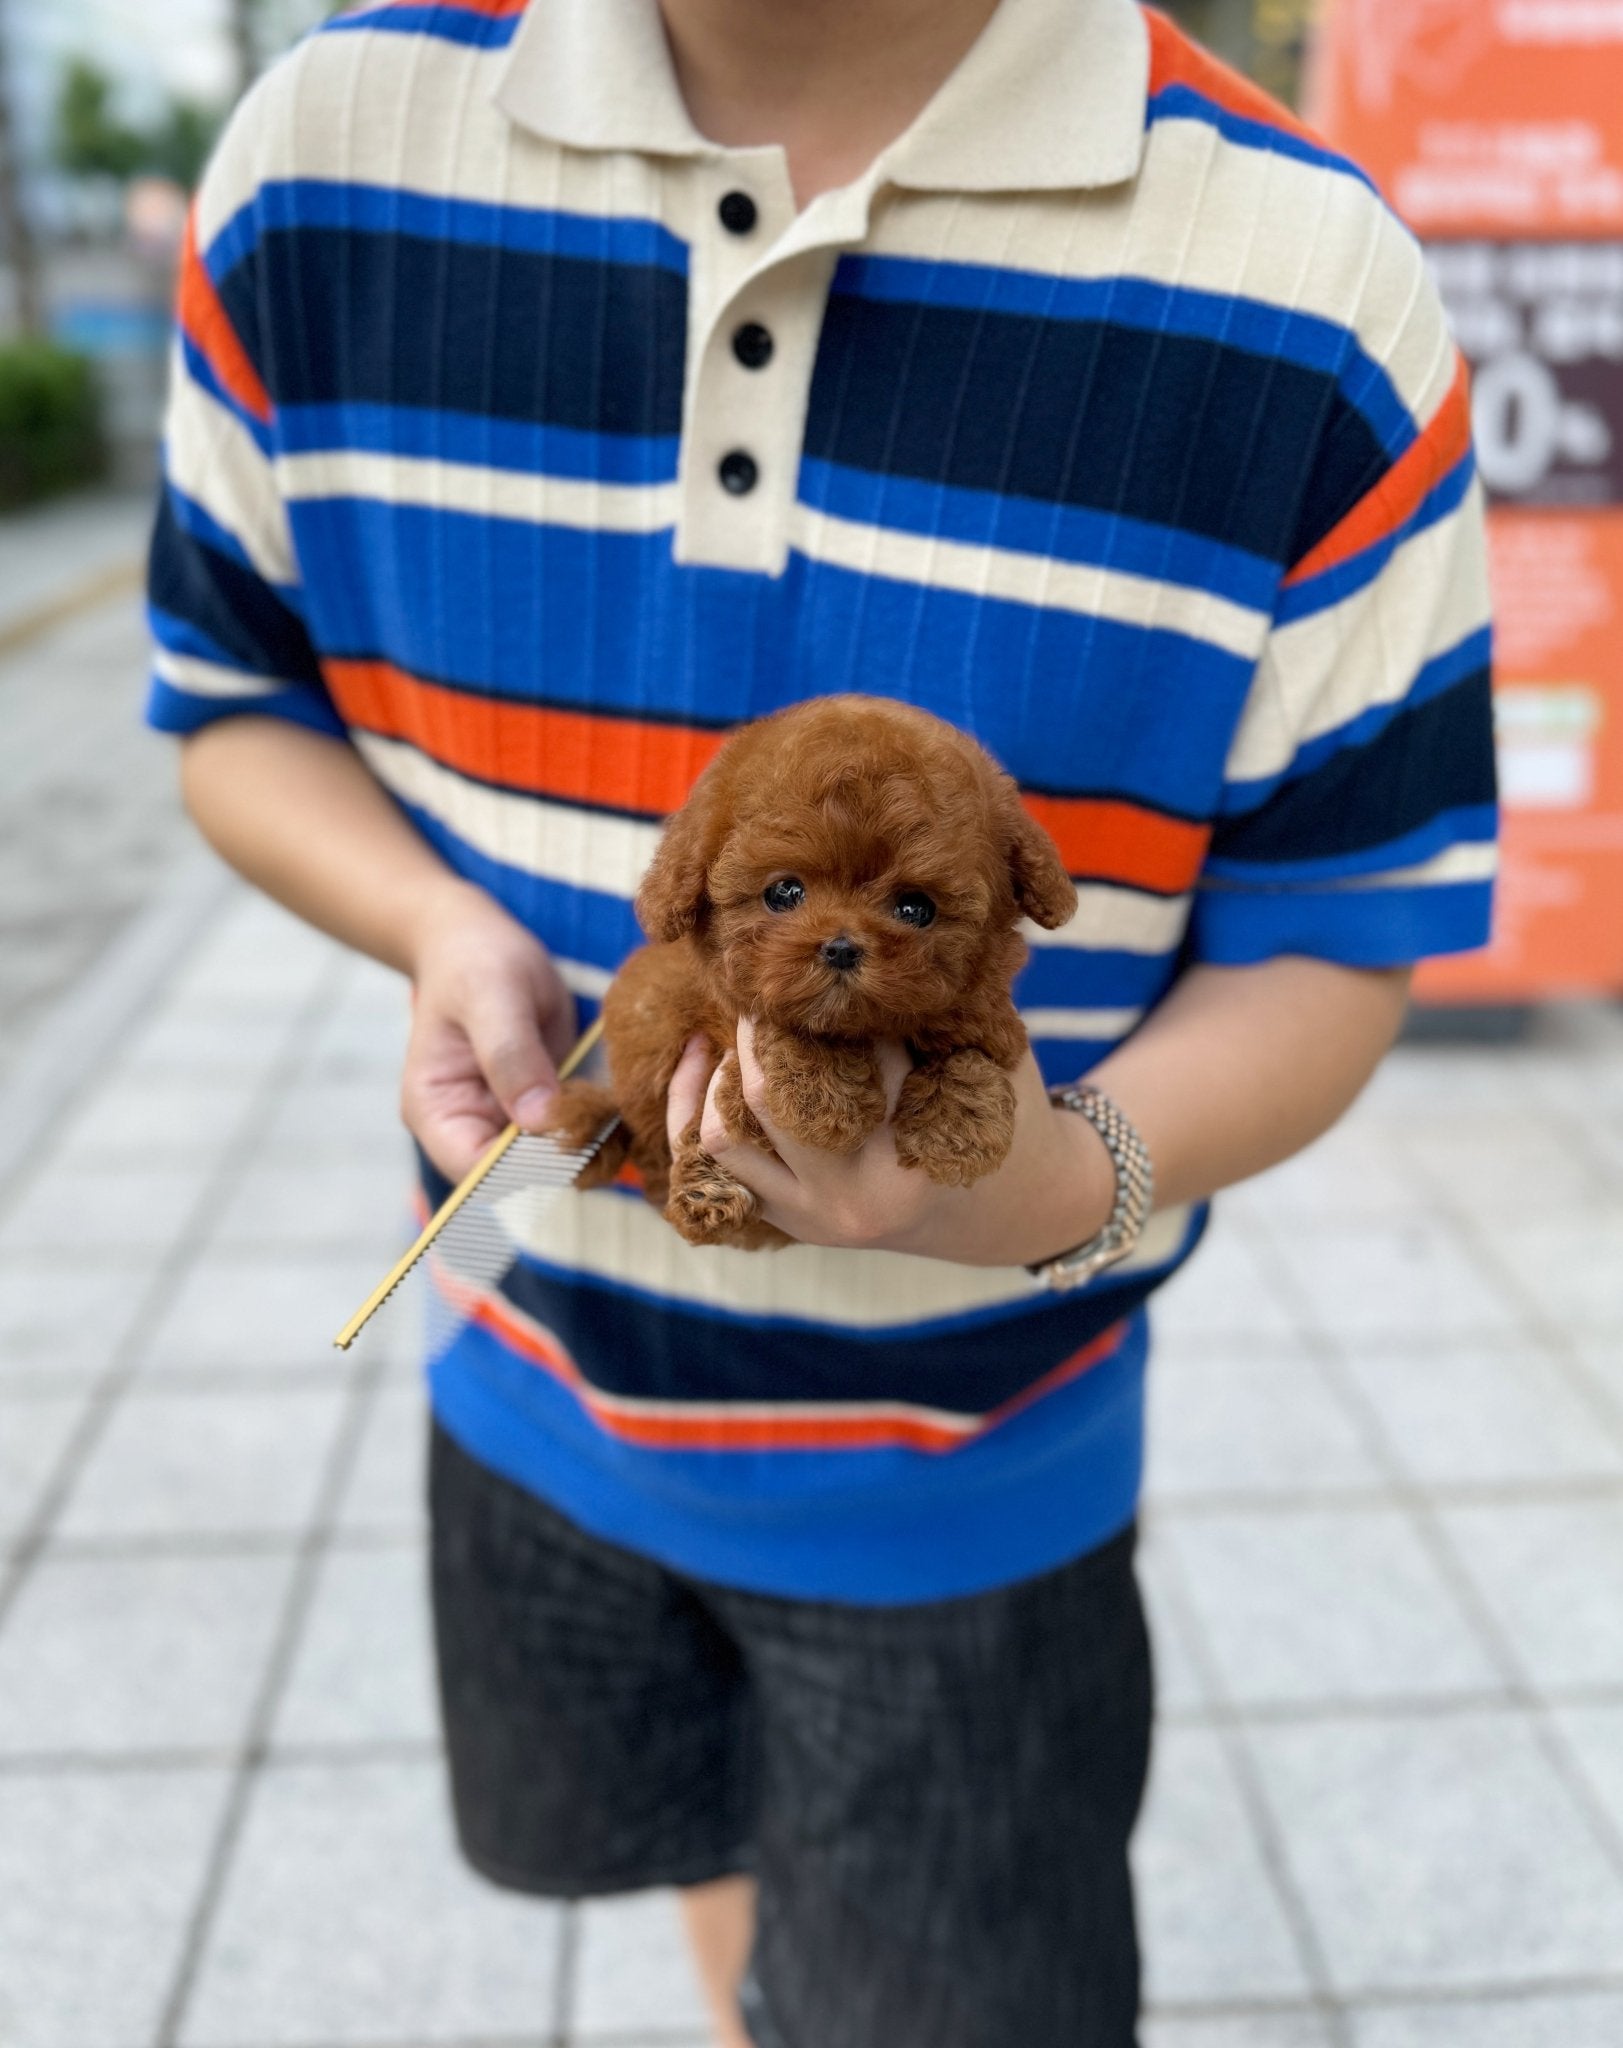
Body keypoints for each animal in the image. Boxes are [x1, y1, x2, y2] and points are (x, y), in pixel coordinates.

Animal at [545, 696, 1073, 1245]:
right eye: (785, 892)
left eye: (916, 909)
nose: (841, 948)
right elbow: (776, 1038)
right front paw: (823, 1101)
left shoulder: (989, 1017)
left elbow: (975, 1053)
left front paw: (958, 1129)